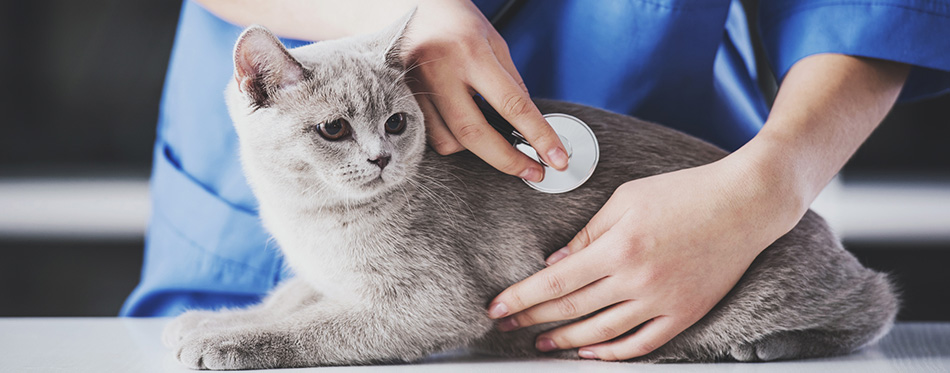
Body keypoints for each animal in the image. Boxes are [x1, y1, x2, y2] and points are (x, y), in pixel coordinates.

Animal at [162, 11, 900, 370]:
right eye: (335, 128)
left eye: (396, 122)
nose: (380, 157)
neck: (312, 218)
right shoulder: (322, 274)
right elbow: (289, 298)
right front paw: (213, 319)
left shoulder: (431, 305)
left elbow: (320, 327)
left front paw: (231, 343)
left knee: (877, 302)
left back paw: (764, 347)